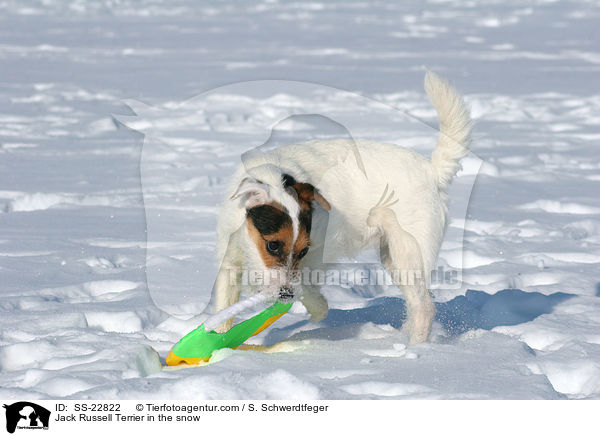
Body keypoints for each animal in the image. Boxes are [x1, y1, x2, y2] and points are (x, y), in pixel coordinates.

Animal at [213, 71, 472, 344]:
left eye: (303, 250)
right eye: (273, 245)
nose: (285, 294)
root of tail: (433, 171)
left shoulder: (315, 256)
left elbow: (308, 287)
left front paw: (318, 310)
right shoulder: (230, 261)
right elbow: (223, 309)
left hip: (409, 252)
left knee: (424, 307)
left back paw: (414, 347)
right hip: (392, 255)